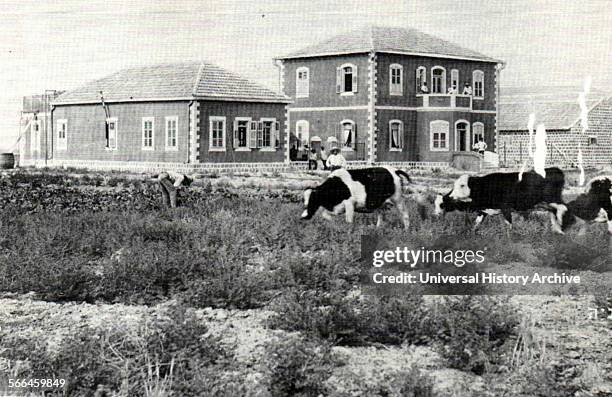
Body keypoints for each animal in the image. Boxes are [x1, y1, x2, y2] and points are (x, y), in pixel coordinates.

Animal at [432, 166, 568, 232]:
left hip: (553, 199)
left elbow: (509, 224)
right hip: (548, 203)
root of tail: (554, 169)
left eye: (441, 205)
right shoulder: (483, 210)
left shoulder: (505, 208)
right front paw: (471, 233)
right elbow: (477, 223)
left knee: (564, 208)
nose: (436, 214)